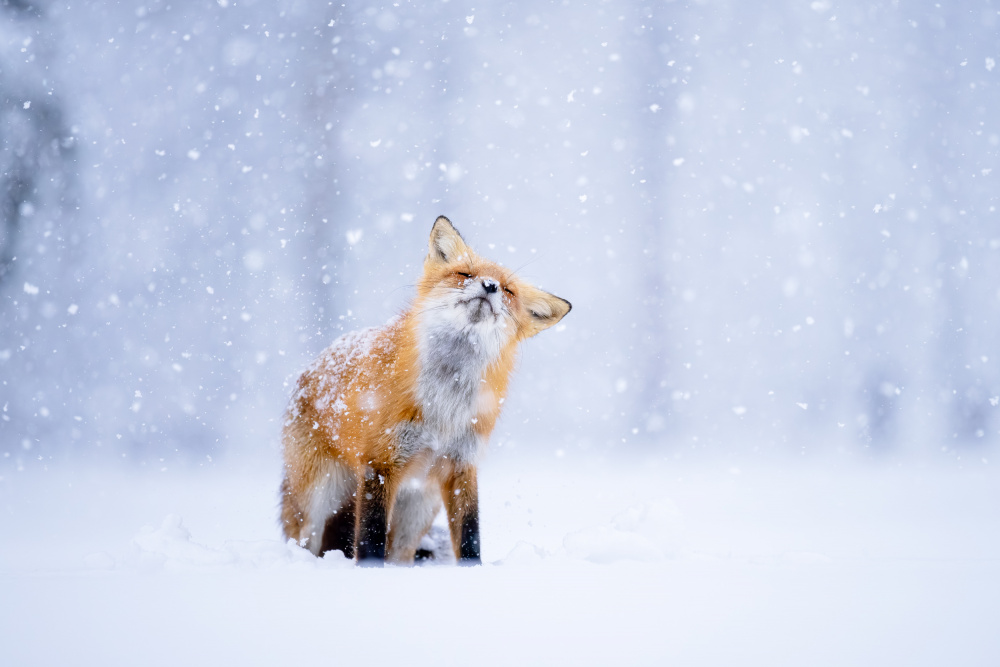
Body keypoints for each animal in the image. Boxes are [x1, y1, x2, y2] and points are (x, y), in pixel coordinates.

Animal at [279, 216, 571, 566]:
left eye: (509, 290)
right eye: (465, 274)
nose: (490, 286)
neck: (445, 405)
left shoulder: (462, 464)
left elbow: (470, 535)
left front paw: (474, 571)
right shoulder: (380, 463)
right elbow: (370, 538)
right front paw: (370, 571)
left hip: (416, 505)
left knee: (399, 553)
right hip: (318, 498)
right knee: (305, 540)